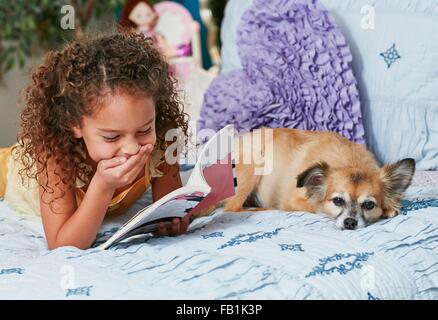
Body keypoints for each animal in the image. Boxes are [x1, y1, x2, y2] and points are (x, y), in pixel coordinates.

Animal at [194, 127, 414, 230]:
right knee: (232, 207)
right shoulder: (293, 199)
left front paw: (390, 208)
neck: (351, 162)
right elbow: (315, 206)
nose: (350, 222)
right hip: (254, 162)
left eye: (369, 205)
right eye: (337, 201)